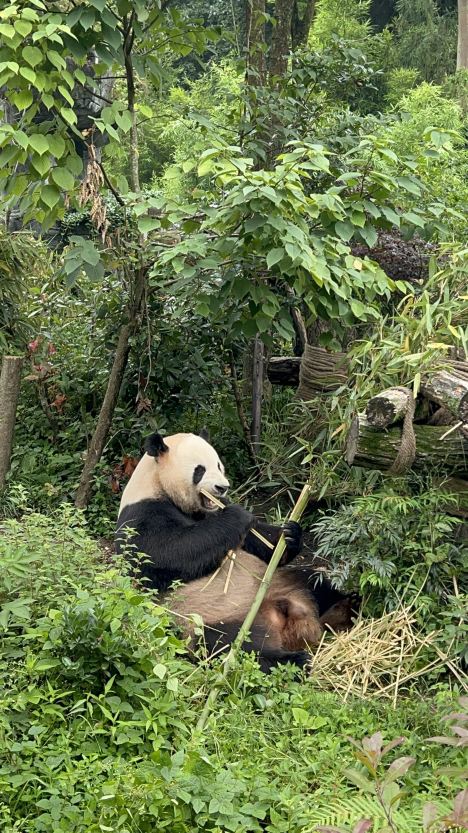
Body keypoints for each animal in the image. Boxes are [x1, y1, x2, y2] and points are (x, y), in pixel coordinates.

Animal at [115, 431, 355, 672]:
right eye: (200, 470)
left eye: (219, 466)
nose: (222, 487)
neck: (157, 484)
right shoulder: (142, 514)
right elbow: (167, 553)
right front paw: (237, 515)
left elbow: (260, 542)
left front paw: (289, 534)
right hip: (210, 619)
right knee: (233, 647)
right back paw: (294, 661)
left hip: (283, 582)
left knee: (316, 582)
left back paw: (348, 605)